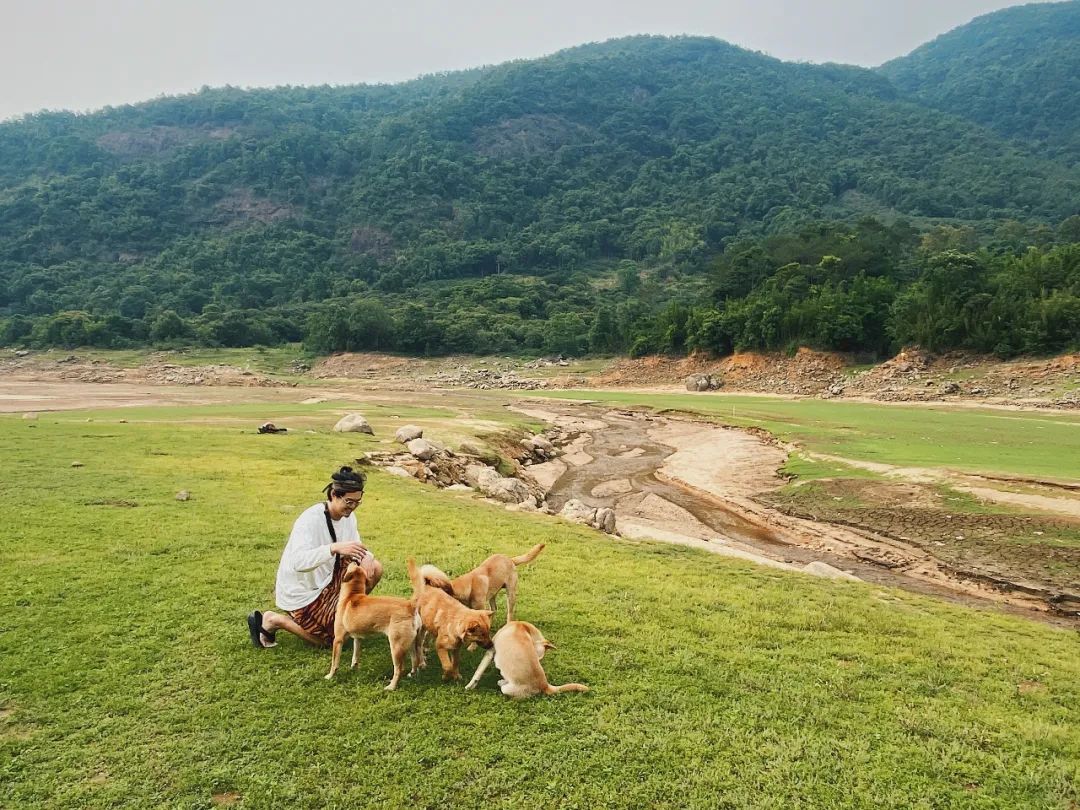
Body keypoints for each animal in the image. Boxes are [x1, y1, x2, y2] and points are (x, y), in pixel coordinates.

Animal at [416, 546, 544, 622]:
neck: (469, 585)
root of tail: (511, 559)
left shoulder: (480, 608)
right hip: (493, 594)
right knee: (494, 609)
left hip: (510, 594)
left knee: (509, 613)